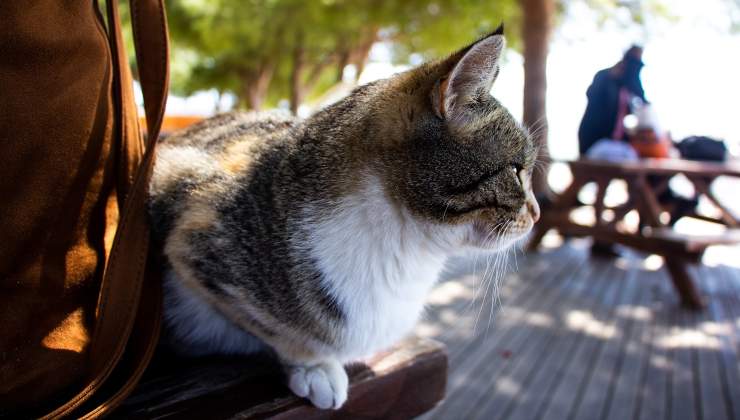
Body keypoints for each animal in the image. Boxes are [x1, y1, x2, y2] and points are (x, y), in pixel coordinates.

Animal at [147, 27, 540, 410]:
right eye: (516, 170)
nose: (536, 213)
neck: (405, 248)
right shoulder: (193, 228)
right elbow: (277, 327)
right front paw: (315, 366)